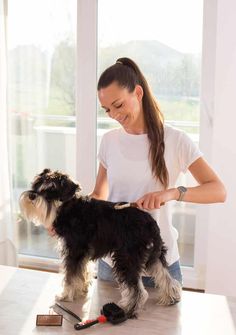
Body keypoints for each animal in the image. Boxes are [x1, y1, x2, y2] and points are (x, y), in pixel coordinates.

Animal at [19, 169, 183, 318]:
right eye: (37, 183)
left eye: (52, 189)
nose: (32, 196)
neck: (69, 207)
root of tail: (150, 222)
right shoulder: (82, 253)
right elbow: (82, 271)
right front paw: (82, 289)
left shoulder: (74, 251)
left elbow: (70, 276)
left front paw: (65, 295)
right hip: (153, 255)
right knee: (164, 274)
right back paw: (171, 297)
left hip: (126, 258)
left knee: (138, 289)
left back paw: (128, 309)